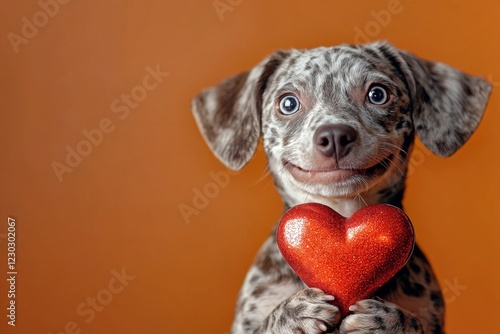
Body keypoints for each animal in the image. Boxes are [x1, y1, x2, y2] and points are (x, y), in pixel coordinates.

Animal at [191, 41, 492, 334]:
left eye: (378, 94)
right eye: (288, 103)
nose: (334, 135)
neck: (343, 211)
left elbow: (412, 322)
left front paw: (388, 321)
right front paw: (291, 314)